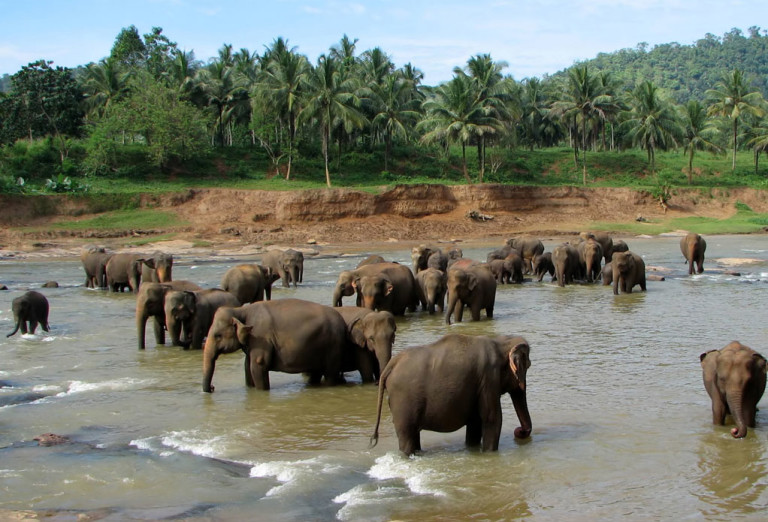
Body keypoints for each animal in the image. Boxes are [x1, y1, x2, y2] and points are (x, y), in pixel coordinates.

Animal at [202, 296, 350, 390]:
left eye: (218, 335)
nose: (213, 387)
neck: (240, 310)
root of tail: (341, 321)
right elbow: (247, 366)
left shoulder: (260, 337)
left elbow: (258, 365)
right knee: (315, 373)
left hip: (333, 346)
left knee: (330, 374)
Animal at [368, 332, 532, 452]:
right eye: (528, 365)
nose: (519, 431)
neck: (500, 341)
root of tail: (391, 364)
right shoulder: (489, 378)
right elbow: (492, 419)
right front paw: (489, 453)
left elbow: (475, 423)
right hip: (403, 401)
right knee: (407, 436)